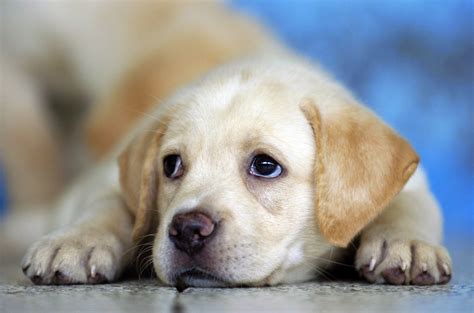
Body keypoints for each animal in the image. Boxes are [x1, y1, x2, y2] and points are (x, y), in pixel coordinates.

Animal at [12, 3, 452, 286]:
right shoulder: (105, 177)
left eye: (265, 166)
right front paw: (78, 240)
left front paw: (408, 243)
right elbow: (106, 205)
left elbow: (408, 203)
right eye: (171, 165)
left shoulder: (413, 180)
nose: (188, 230)